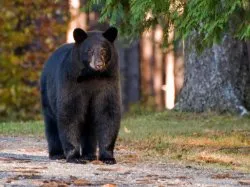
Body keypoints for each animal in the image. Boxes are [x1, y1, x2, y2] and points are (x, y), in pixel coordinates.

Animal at [40, 27, 120, 164]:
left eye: (104, 50)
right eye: (89, 50)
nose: (99, 64)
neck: (91, 76)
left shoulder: (108, 83)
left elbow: (108, 113)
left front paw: (108, 157)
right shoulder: (71, 82)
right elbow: (70, 112)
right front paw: (74, 157)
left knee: (89, 127)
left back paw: (89, 155)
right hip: (47, 93)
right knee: (51, 124)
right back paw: (57, 154)